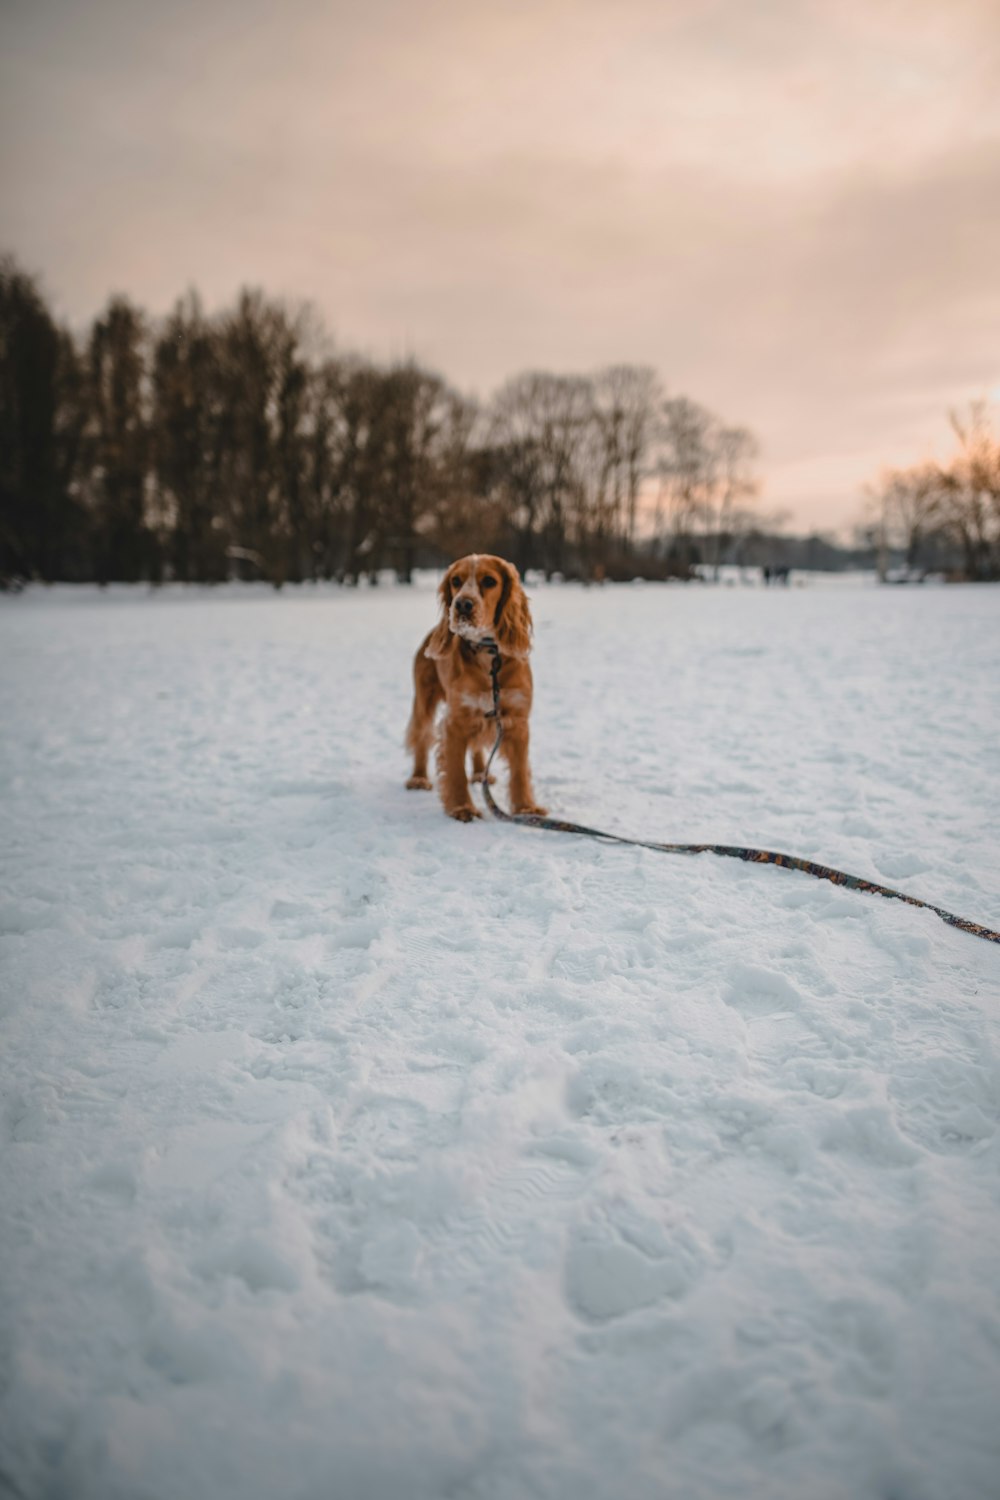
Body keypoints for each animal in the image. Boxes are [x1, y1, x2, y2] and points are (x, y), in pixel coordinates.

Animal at [404, 561, 548, 828]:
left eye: (490, 581)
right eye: (455, 581)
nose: (462, 604)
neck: (488, 654)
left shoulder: (517, 720)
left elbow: (520, 770)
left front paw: (526, 808)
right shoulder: (456, 721)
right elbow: (456, 771)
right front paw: (462, 808)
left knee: (478, 747)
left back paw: (482, 774)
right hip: (424, 699)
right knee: (421, 735)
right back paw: (418, 778)